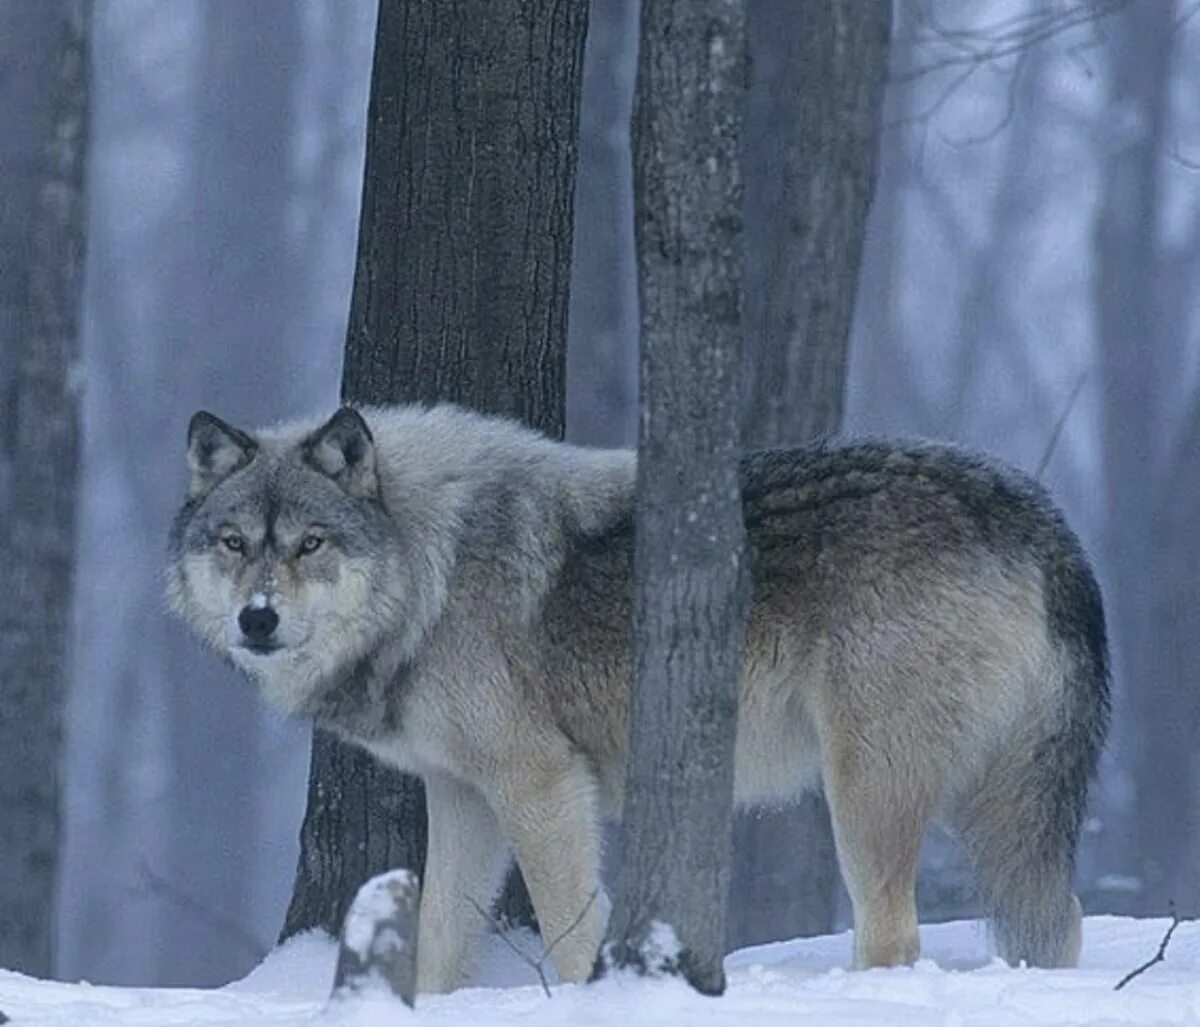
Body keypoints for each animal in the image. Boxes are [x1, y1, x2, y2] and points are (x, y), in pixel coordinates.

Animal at [164, 403, 1108, 993]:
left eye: (310, 543)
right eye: (235, 542)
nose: (257, 618)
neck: (434, 568)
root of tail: (1037, 512)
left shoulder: (541, 783)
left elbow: (569, 928)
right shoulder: (463, 795)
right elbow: (437, 940)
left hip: (868, 790)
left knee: (895, 933)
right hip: (998, 805)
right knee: (1059, 917)